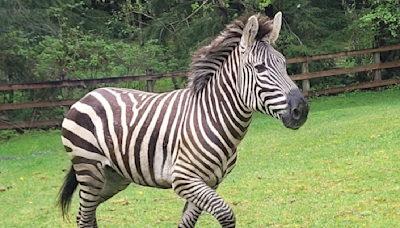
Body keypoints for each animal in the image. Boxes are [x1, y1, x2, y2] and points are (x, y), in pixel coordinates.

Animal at [58, 12, 310, 228]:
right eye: (259, 68)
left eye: (284, 64)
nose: (302, 109)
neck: (214, 118)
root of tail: (87, 95)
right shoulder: (184, 179)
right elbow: (226, 214)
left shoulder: (208, 182)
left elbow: (188, 222)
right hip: (89, 169)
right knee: (84, 216)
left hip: (113, 176)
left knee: (86, 214)